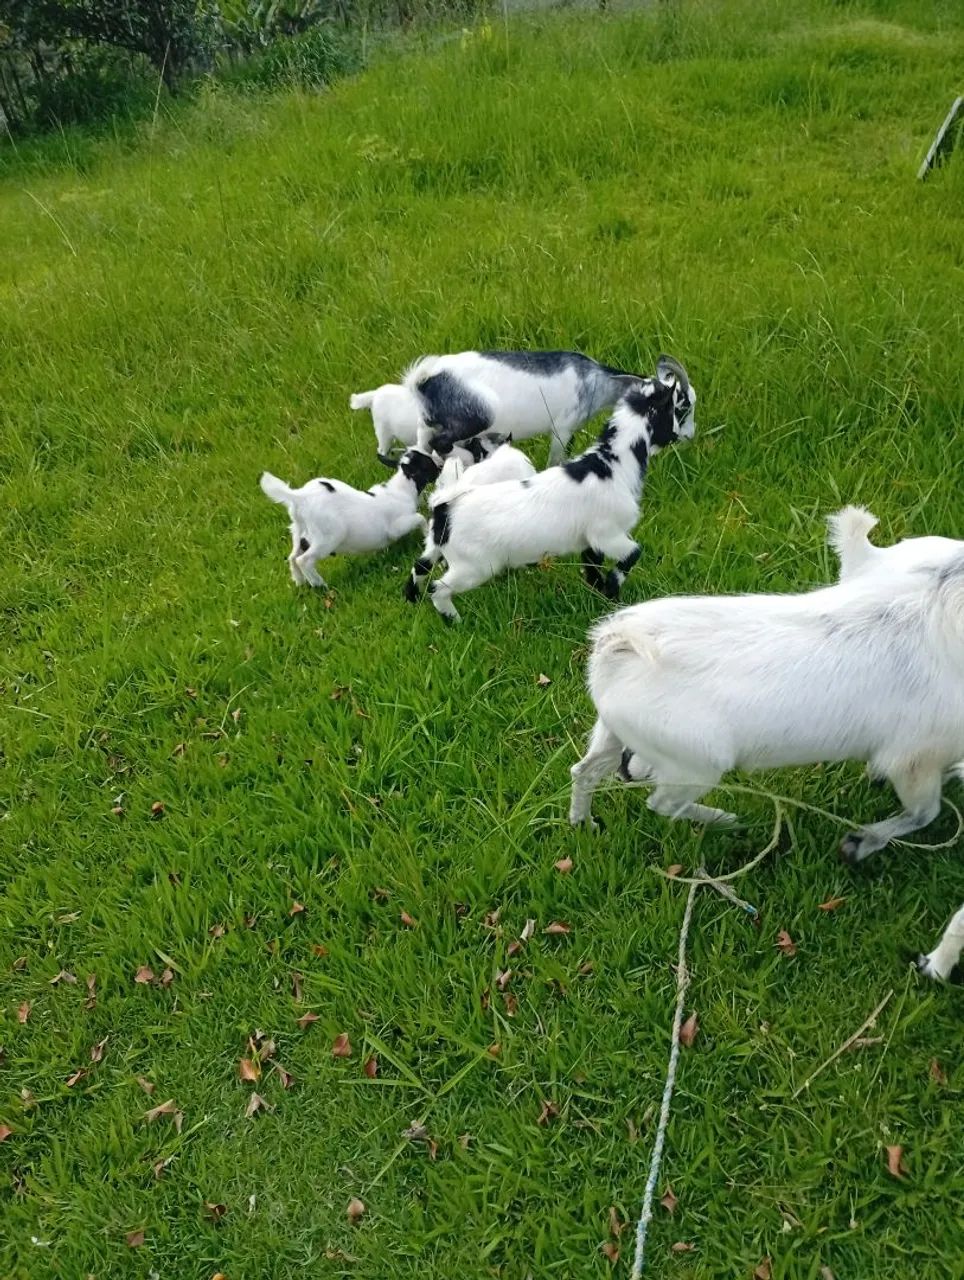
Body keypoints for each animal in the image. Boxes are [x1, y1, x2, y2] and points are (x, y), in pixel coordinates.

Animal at [260, 447, 439, 590]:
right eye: (427, 464)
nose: (440, 467)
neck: (401, 490)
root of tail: (299, 497)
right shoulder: (396, 526)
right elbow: (420, 518)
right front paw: (426, 535)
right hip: (328, 537)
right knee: (304, 560)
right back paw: (319, 585)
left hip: (299, 533)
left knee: (292, 557)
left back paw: (299, 582)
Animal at [404, 356, 696, 622]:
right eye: (677, 409)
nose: (683, 437)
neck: (612, 464)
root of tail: (443, 507)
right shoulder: (608, 533)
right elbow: (633, 554)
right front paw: (613, 593)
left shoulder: (590, 540)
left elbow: (592, 571)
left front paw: (602, 600)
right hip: (474, 567)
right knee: (439, 589)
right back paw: (455, 622)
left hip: (438, 548)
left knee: (420, 567)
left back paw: (412, 600)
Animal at [569, 529, 964, 875]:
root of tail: (617, 640)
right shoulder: (914, 758)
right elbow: (924, 812)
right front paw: (858, 844)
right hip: (695, 764)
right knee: (663, 803)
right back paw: (725, 820)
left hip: (613, 731)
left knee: (586, 770)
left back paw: (583, 823)